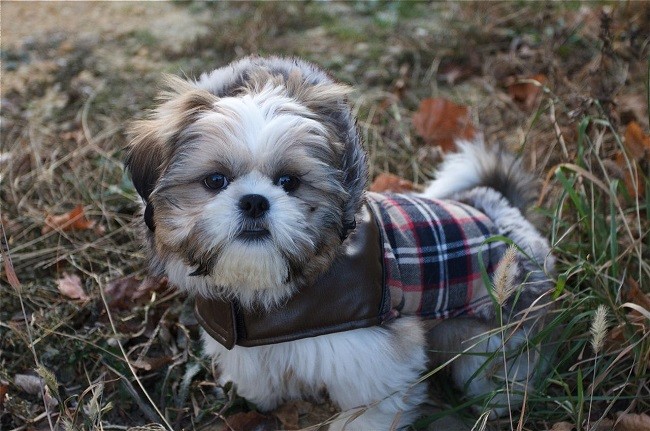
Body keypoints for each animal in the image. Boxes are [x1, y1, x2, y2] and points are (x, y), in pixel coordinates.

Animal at [125, 56, 552, 428]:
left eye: (289, 182)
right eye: (215, 180)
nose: (255, 201)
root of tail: (495, 207)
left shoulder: (372, 355)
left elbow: (371, 408)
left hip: (490, 334)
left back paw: (502, 399)